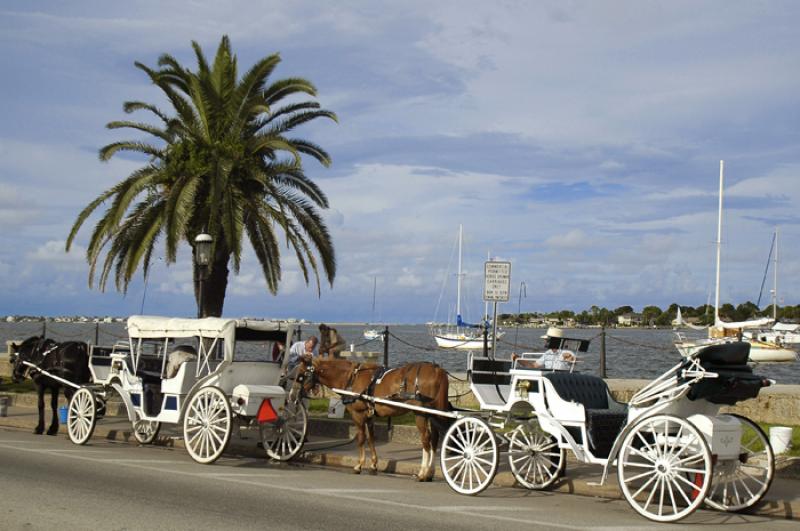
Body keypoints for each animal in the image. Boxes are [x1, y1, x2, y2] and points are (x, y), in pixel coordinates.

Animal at [298, 358, 450, 482]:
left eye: (301, 375)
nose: (298, 393)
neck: (352, 378)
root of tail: (437, 369)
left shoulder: (357, 414)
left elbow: (361, 439)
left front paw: (359, 465)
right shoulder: (369, 416)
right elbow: (371, 438)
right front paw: (373, 465)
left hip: (421, 413)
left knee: (426, 440)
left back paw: (422, 473)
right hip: (432, 413)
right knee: (434, 440)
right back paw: (429, 472)